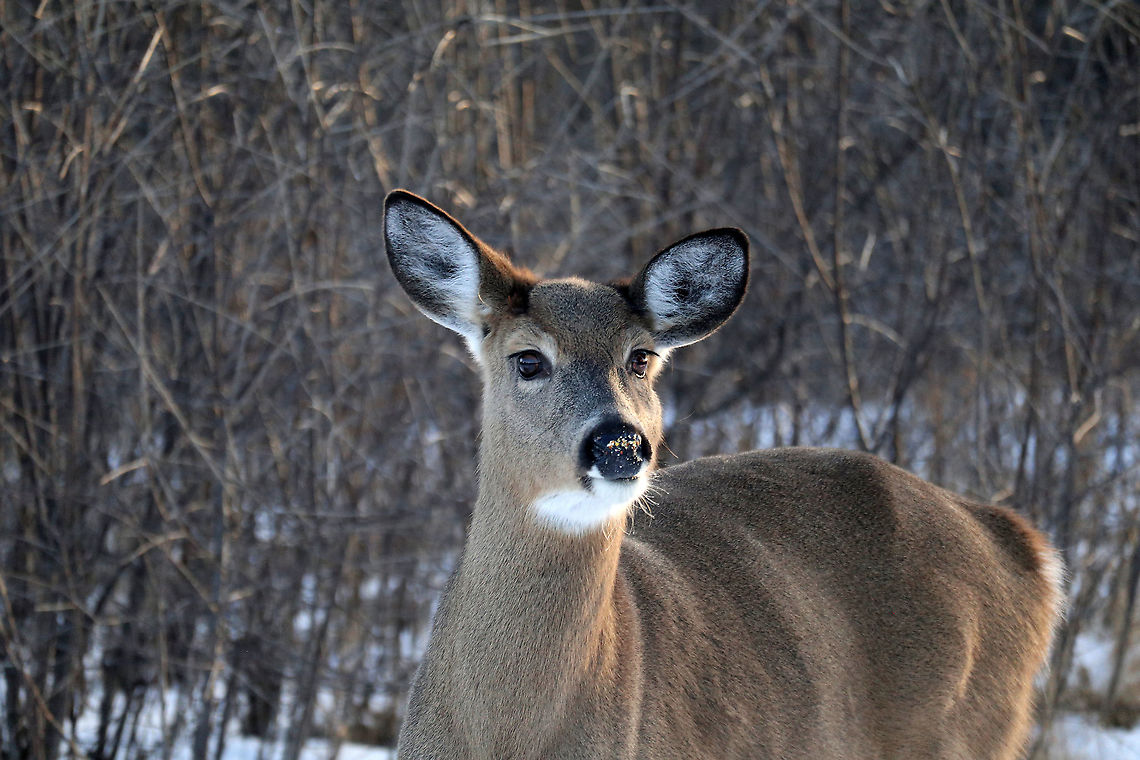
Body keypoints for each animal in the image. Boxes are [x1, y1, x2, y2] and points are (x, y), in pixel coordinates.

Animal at [383, 189, 1064, 760]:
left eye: (641, 358)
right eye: (528, 360)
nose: (620, 445)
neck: (504, 732)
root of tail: (1021, 545)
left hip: (969, 728)